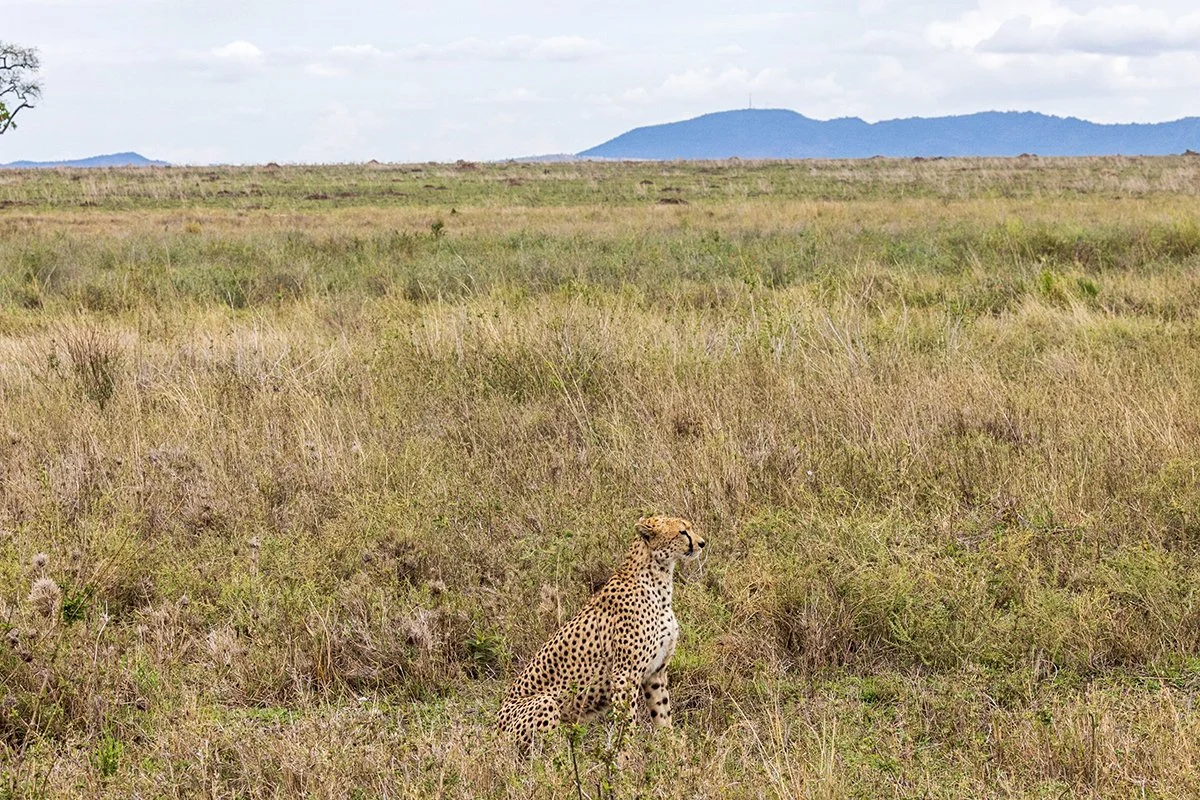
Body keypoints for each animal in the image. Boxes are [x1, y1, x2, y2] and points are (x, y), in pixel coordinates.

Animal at [497, 515, 705, 746]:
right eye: (682, 532)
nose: (702, 543)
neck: (658, 581)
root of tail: (494, 730)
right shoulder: (625, 673)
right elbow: (627, 722)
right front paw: (625, 753)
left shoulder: (656, 673)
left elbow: (663, 717)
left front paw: (670, 750)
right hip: (544, 702)